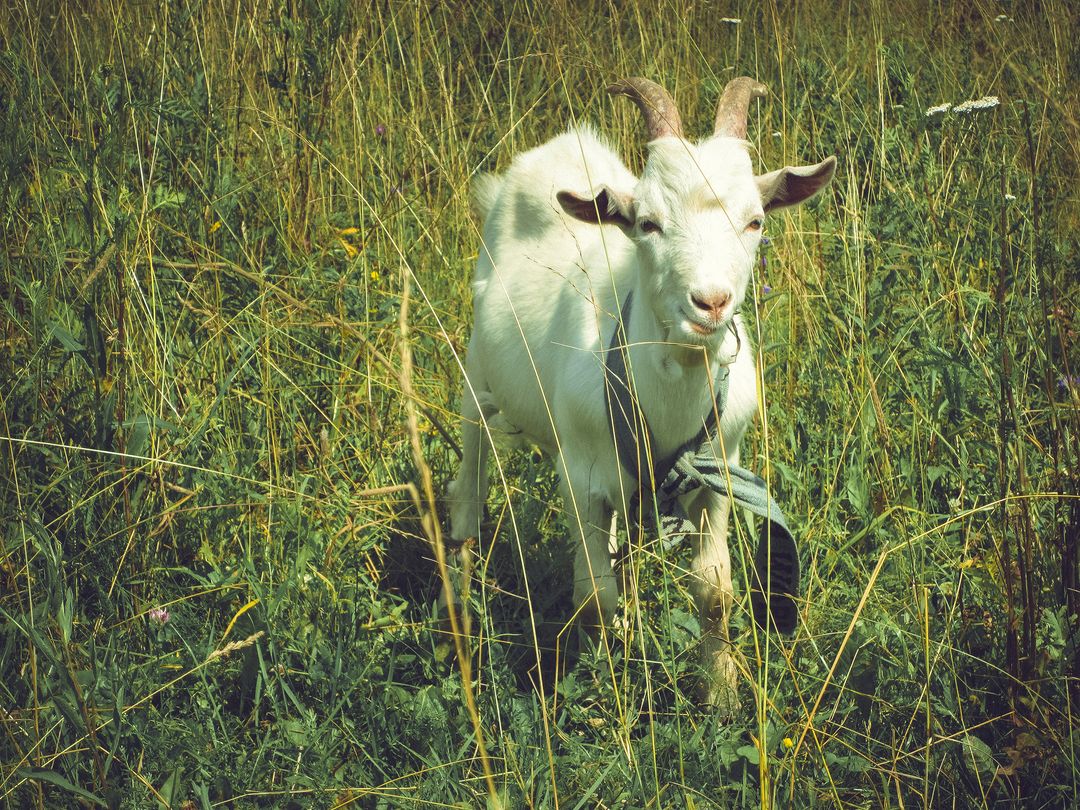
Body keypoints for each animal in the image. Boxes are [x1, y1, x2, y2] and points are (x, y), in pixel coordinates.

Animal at [448, 76, 836, 708]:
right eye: (648, 223)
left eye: (755, 221)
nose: (711, 302)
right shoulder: (580, 477)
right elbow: (593, 596)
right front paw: (606, 681)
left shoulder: (717, 471)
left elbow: (714, 591)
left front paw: (722, 692)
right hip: (478, 380)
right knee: (469, 490)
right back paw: (453, 608)